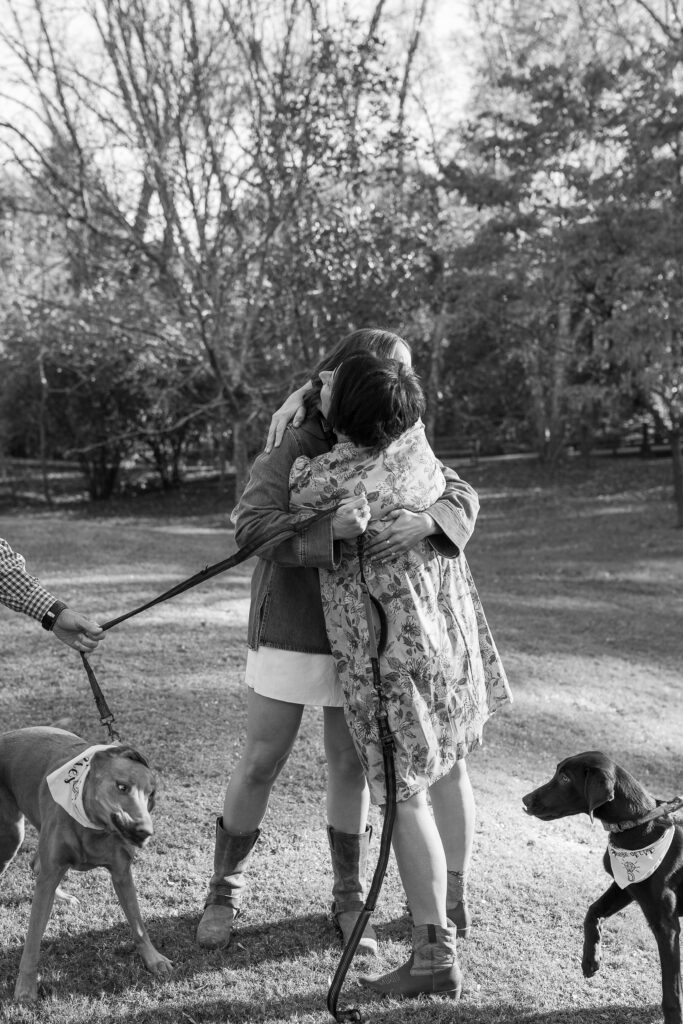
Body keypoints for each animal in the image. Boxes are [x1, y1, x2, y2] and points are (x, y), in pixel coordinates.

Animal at [0, 729, 171, 999]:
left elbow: (138, 925)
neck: (93, 825)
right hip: (11, 835)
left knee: (36, 864)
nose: (146, 832)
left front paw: (153, 959)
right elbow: (32, 941)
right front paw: (25, 987)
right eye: (121, 786)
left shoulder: (122, 873)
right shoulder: (50, 875)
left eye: (151, 795)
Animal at [528, 753, 679, 1024]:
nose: (525, 800)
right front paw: (590, 959)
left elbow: (671, 992)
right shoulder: (625, 885)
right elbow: (593, 911)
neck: (636, 825)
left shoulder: (667, 926)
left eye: (565, 778)